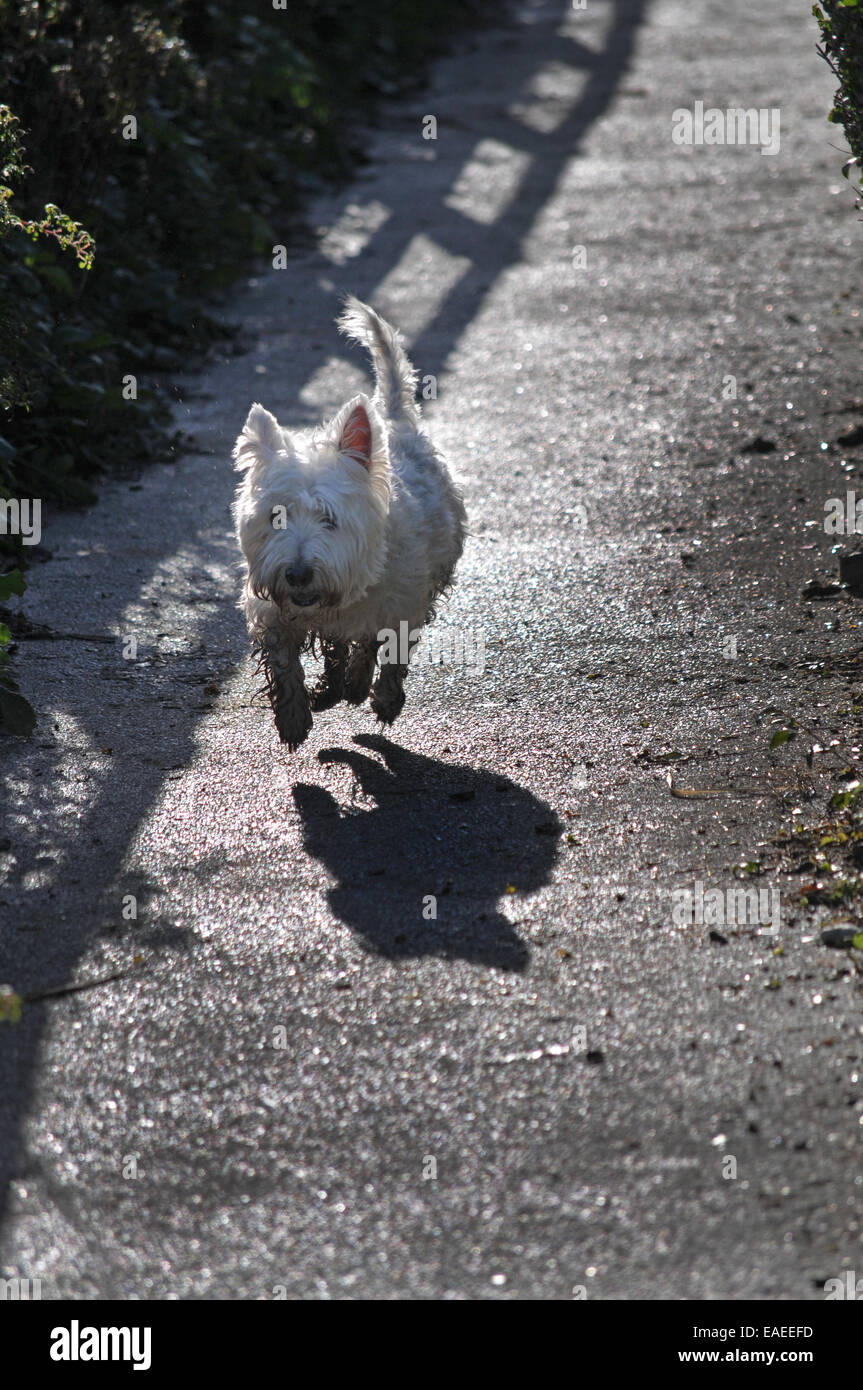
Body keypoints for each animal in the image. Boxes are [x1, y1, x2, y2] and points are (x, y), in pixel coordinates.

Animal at [230, 294, 464, 750]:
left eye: (329, 518)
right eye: (276, 517)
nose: (297, 574)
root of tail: (393, 419)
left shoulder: (403, 599)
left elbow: (386, 647)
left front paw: (381, 696)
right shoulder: (271, 612)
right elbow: (284, 664)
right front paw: (294, 717)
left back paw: (352, 685)